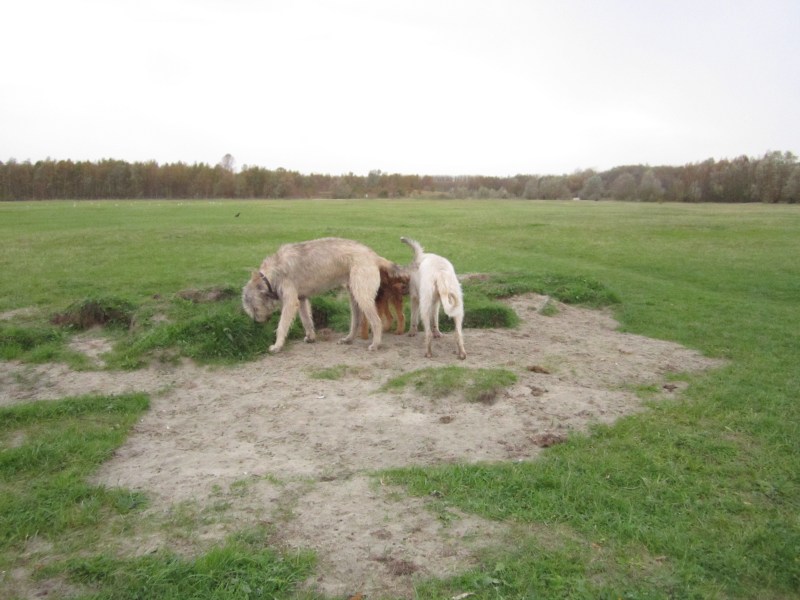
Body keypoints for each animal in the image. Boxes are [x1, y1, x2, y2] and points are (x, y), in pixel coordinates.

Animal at [242, 237, 400, 353]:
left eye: (255, 308)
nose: (257, 323)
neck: (270, 274)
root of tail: (374, 256)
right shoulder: (301, 298)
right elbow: (306, 319)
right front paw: (311, 336)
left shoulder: (290, 300)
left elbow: (282, 325)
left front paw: (277, 345)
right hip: (354, 295)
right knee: (356, 320)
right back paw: (348, 339)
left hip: (362, 294)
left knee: (377, 321)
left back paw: (376, 344)